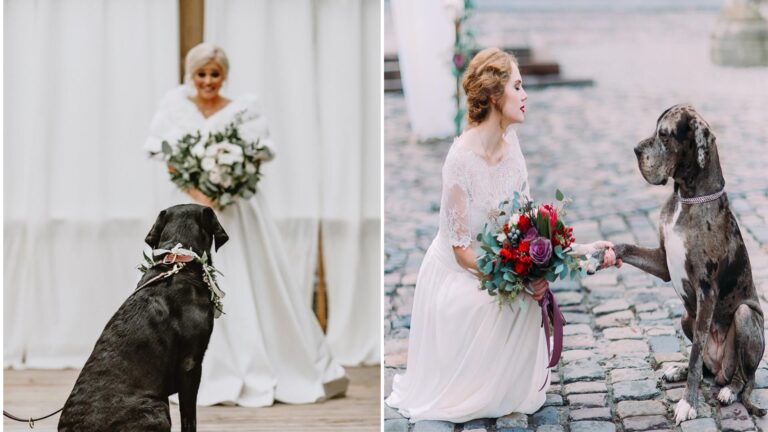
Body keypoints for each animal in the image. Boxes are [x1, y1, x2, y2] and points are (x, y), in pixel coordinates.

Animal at [612, 104, 760, 422]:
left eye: (665, 135)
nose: (635, 149)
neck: (687, 199)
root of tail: (720, 370)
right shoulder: (662, 263)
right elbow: (625, 247)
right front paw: (596, 255)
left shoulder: (706, 291)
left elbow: (694, 356)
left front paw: (688, 403)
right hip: (684, 316)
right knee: (706, 366)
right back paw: (678, 370)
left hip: (743, 316)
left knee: (743, 376)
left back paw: (729, 391)